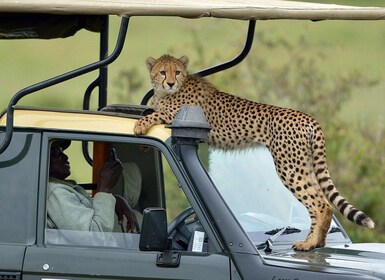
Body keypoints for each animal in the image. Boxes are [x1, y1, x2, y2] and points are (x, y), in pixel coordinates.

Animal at [134, 53, 374, 250]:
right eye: (162, 72)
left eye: (177, 71)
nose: (170, 82)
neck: (170, 90)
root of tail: (309, 117)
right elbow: (151, 107)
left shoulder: (176, 114)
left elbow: (155, 113)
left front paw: (139, 125)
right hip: (302, 165)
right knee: (322, 202)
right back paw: (315, 242)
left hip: (289, 168)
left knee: (321, 204)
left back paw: (310, 244)